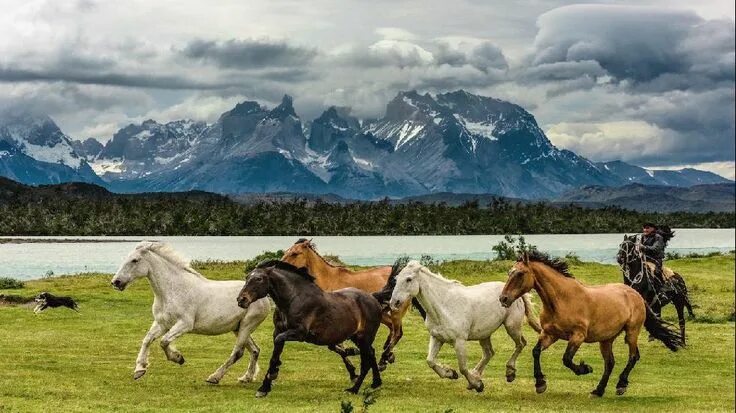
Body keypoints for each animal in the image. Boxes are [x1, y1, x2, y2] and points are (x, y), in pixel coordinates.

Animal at [109, 241, 270, 384]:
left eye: (135, 260)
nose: (116, 282)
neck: (172, 291)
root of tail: (265, 297)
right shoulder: (162, 323)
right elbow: (147, 339)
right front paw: (139, 370)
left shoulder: (185, 324)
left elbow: (164, 341)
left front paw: (178, 358)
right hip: (238, 328)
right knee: (255, 350)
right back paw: (246, 378)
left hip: (247, 326)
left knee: (238, 352)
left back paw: (214, 377)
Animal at [237, 260, 386, 398]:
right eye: (247, 277)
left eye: (259, 279)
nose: (241, 300)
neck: (294, 299)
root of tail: (373, 298)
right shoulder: (278, 331)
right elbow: (274, 355)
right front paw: (264, 388)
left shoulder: (299, 333)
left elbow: (278, 345)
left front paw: (274, 373)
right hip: (357, 337)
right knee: (371, 354)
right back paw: (375, 383)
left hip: (364, 337)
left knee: (366, 362)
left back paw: (354, 389)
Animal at [386, 260, 540, 392]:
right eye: (396, 279)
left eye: (409, 279)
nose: (394, 303)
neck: (444, 306)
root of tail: (515, 293)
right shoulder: (436, 337)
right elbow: (430, 361)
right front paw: (451, 373)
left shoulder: (459, 341)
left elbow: (463, 367)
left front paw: (477, 385)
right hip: (484, 334)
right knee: (489, 353)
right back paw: (477, 375)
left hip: (512, 327)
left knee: (521, 344)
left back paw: (509, 373)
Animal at [498, 248, 680, 396]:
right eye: (509, 272)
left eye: (520, 274)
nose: (503, 299)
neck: (561, 300)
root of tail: (636, 295)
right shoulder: (550, 334)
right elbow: (536, 351)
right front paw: (540, 384)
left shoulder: (578, 336)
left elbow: (566, 359)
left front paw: (585, 369)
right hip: (606, 339)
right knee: (610, 363)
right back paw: (598, 391)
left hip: (631, 332)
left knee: (633, 356)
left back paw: (621, 385)